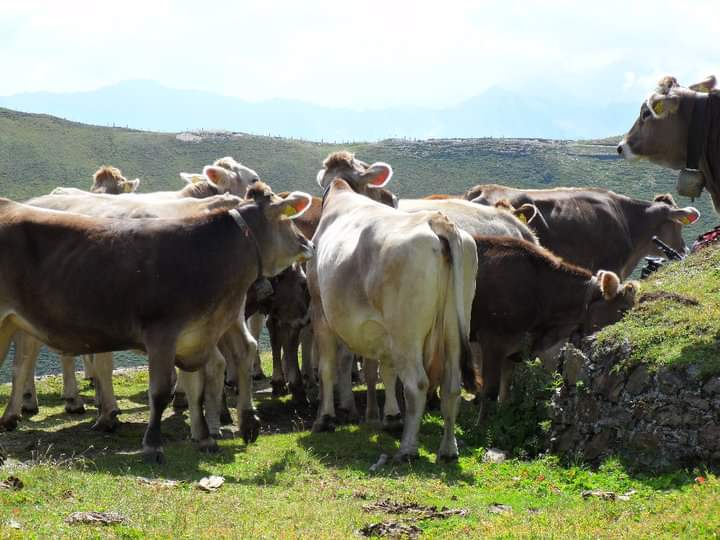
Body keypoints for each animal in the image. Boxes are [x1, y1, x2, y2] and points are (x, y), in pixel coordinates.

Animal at [0, 182, 314, 463]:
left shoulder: (198, 335)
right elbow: (160, 391)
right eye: (288, 217)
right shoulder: (162, 335)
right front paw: (152, 444)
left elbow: (198, 387)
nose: (308, 242)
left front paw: (206, 437)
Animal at [309, 151, 478, 462]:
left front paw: (324, 419)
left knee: (417, 383)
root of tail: (437, 220)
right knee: (451, 386)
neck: (342, 189)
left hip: (406, 331)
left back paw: (407, 449)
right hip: (453, 325)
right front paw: (390, 417)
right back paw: (448, 450)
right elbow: (386, 371)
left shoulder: (319, 308)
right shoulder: (381, 329)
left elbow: (327, 365)